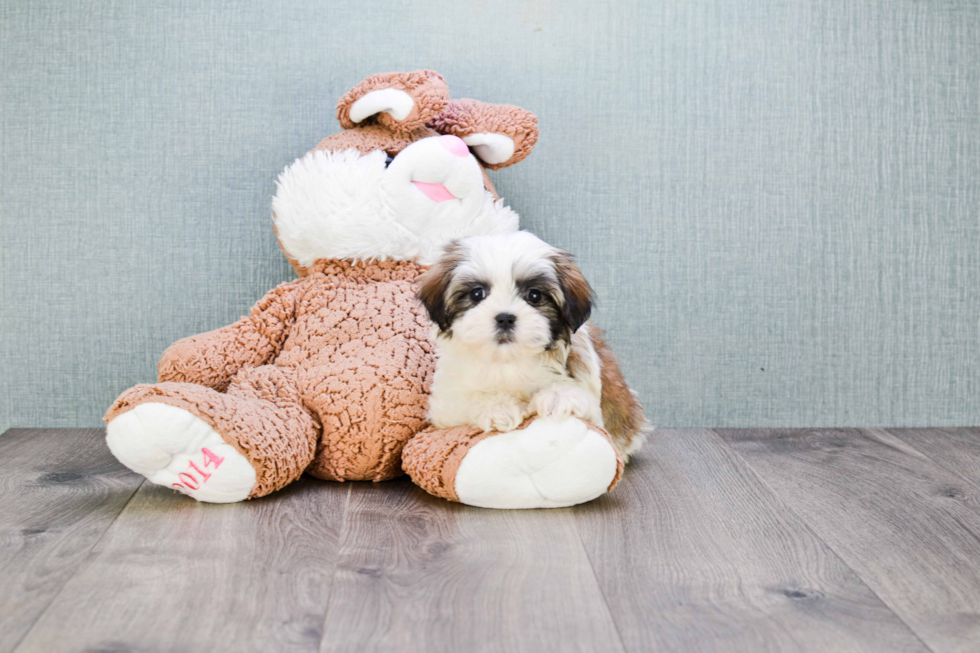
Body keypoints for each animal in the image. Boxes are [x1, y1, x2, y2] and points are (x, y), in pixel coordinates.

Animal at [416, 229, 652, 458]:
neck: (508, 359)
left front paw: (558, 397)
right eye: (477, 294)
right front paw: (497, 408)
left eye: (534, 296)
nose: (505, 318)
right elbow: (466, 400)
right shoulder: (445, 402)